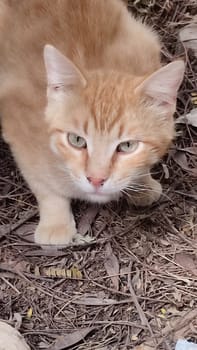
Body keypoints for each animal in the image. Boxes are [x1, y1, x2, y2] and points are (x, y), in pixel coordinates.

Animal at [0, 0, 185, 246]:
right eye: (76, 140)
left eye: (127, 146)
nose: (96, 180)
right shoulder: (17, 125)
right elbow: (42, 181)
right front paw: (56, 222)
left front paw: (143, 184)